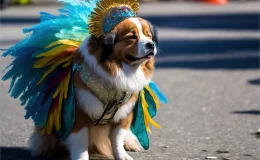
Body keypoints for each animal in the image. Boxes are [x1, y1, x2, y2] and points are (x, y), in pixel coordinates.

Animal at [27, 17, 157, 160]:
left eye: (149, 36)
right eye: (131, 37)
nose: (151, 44)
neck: (118, 69)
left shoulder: (123, 113)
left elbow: (117, 138)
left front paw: (121, 155)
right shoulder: (78, 113)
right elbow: (81, 141)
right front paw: (81, 157)